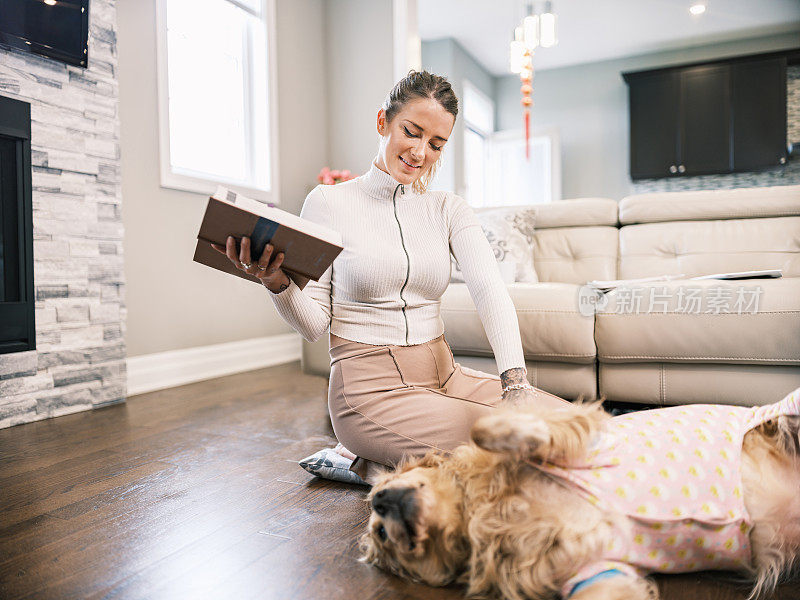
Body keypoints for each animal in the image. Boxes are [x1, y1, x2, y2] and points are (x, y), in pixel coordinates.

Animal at [360, 394, 800, 600]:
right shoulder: (597, 570)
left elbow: (484, 429)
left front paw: (510, 429)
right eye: (380, 534)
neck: (480, 511)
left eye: (378, 494)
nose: (380, 502)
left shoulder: (581, 428)